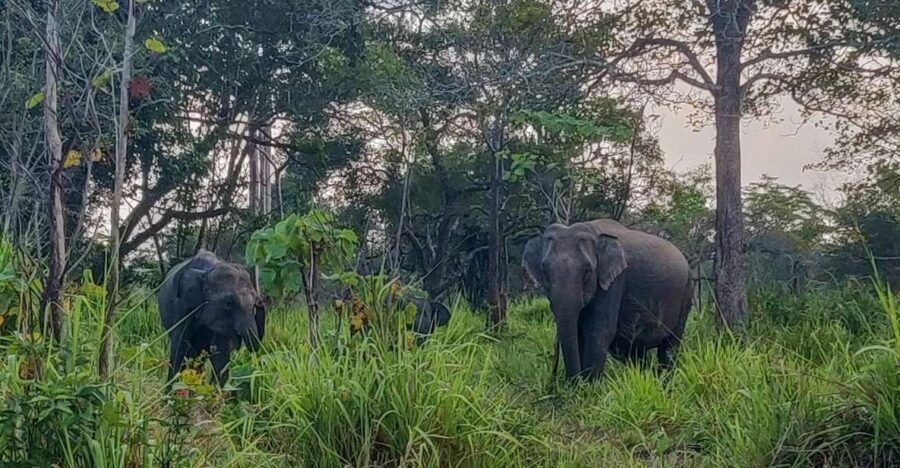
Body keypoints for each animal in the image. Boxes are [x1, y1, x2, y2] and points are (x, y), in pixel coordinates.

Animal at [159, 250, 266, 386]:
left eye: (253, 305)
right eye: (228, 303)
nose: (261, 303)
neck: (208, 271)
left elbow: (220, 355)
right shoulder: (182, 306)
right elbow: (179, 346)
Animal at [524, 219, 692, 380]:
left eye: (588, 271)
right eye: (545, 272)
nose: (555, 380)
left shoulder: (614, 283)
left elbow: (598, 332)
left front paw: (589, 387)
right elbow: (579, 333)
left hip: (686, 292)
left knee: (669, 348)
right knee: (636, 354)